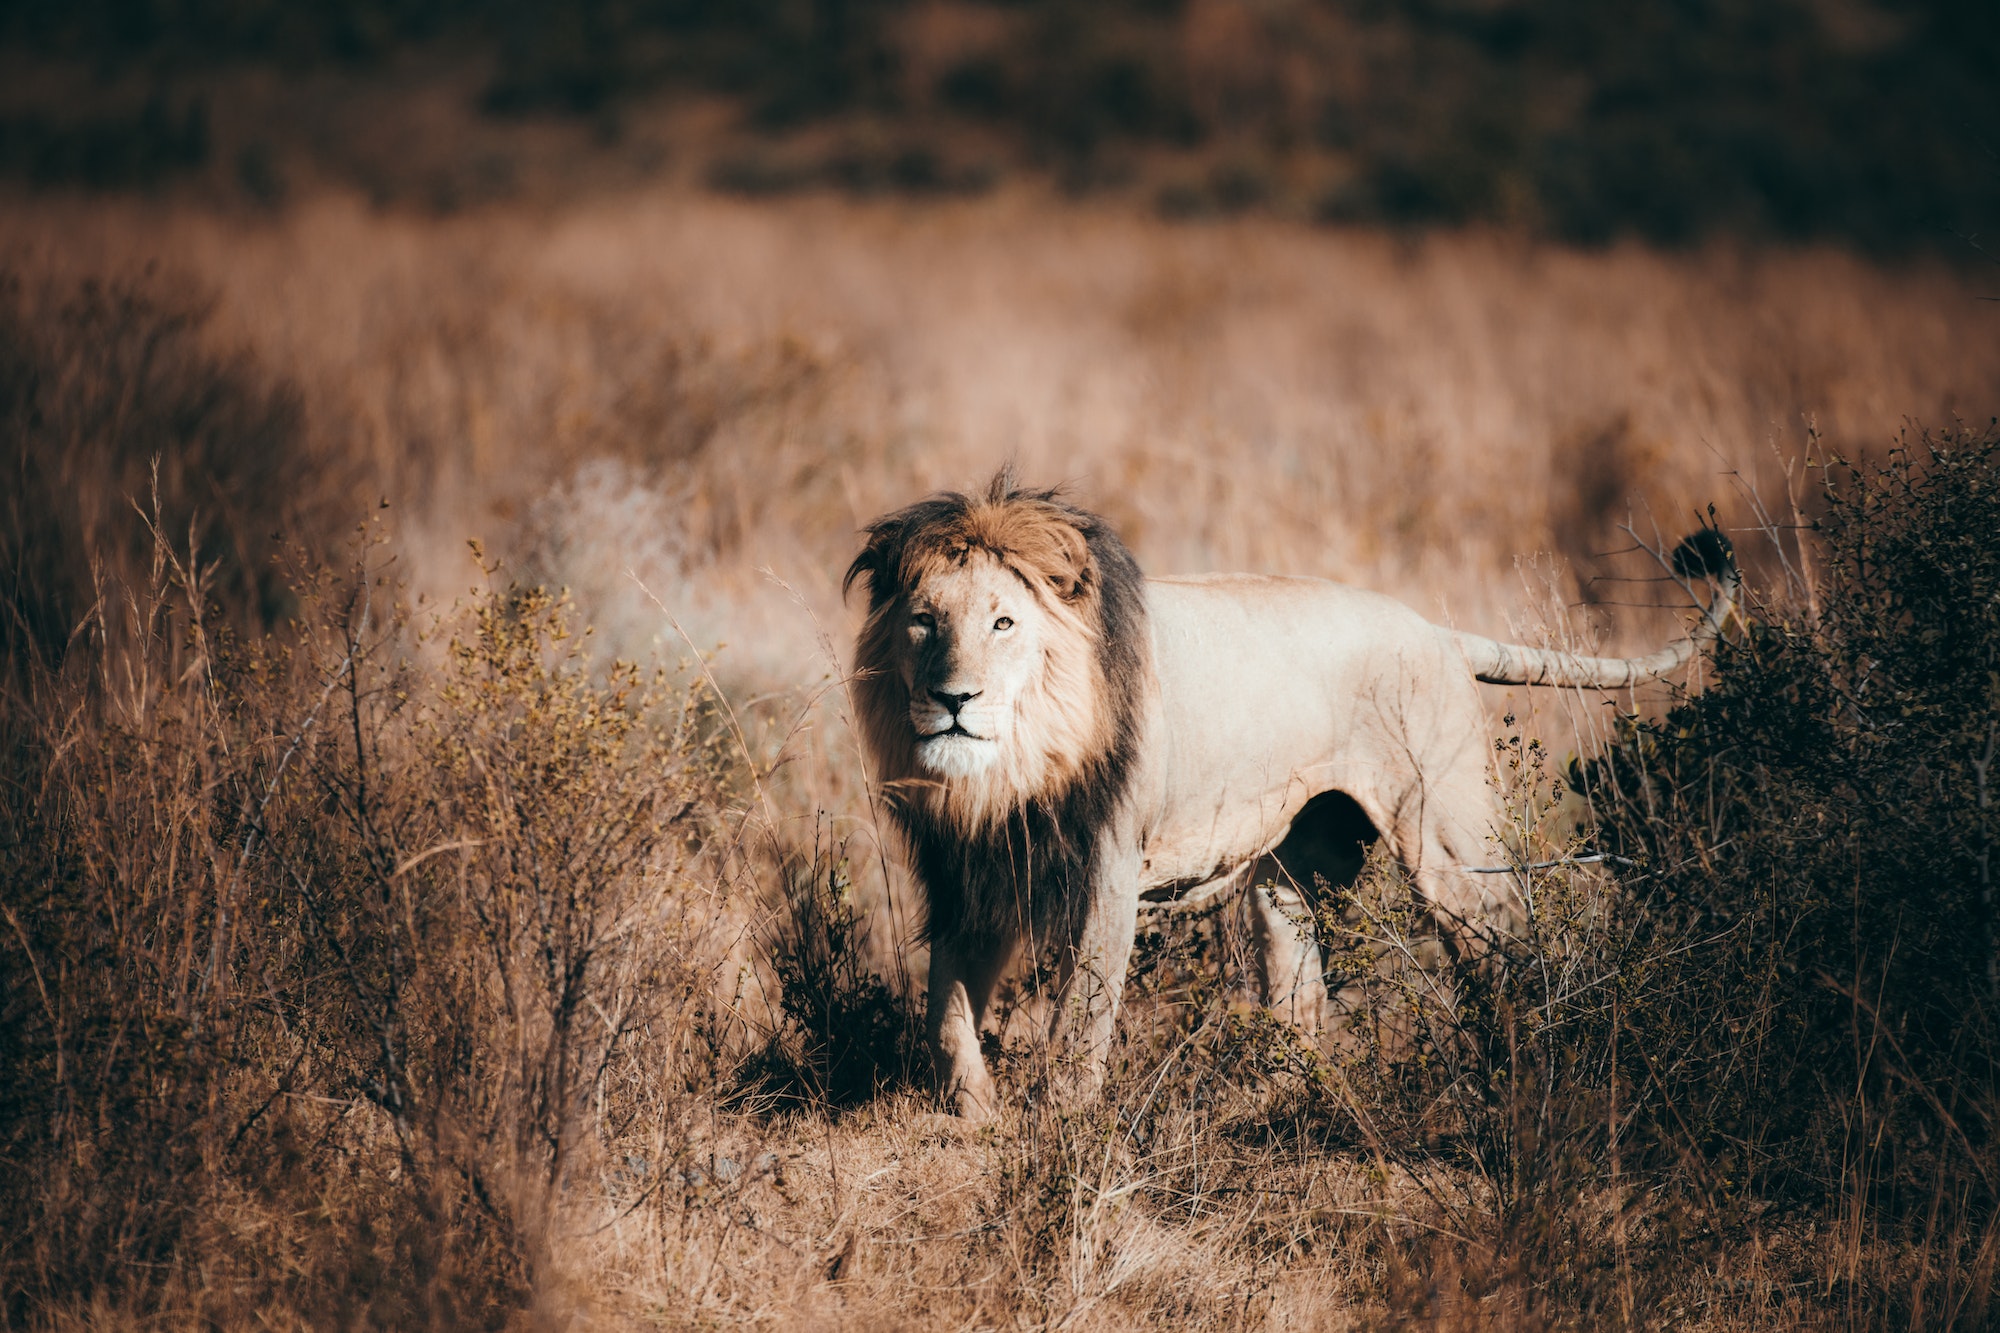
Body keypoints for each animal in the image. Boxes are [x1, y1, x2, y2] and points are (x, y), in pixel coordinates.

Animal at [844, 472, 1736, 1112]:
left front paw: (1056, 1129)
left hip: (1447, 842)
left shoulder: (1108, 868)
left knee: (1503, 944)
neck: (1009, 775)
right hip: (1294, 868)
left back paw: (1525, 1070)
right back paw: (1264, 1101)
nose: (954, 699)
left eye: (1003, 623)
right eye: (924, 621)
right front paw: (973, 1118)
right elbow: (946, 1009)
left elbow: (1080, 1020)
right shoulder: (968, 872)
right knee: (1300, 988)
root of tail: (1437, 630)